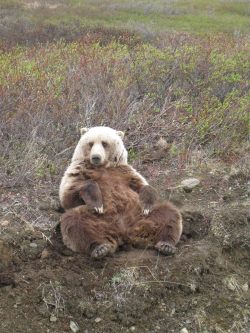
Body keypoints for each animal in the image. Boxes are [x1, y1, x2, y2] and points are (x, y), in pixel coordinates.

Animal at [59, 126, 183, 258]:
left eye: (104, 143)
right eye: (90, 143)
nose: (96, 157)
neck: (103, 166)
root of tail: (123, 234)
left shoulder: (125, 172)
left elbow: (143, 186)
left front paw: (147, 205)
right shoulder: (78, 171)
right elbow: (68, 197)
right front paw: (97, 204)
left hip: (138, 215)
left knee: (168, 213)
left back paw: (166, 244)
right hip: (97, 218)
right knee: (75, 220)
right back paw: (100, 248)